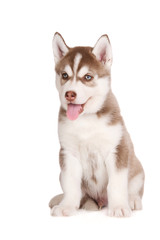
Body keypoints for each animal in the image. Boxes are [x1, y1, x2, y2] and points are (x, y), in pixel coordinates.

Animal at [50, 32, 145, 218]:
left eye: (88, 77)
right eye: (64, 75)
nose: (69, 94)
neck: (86, 119)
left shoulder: (118, 148)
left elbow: (116, 183)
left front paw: (119, 207)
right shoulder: (68, 152)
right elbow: (71, 184)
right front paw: (67, 206)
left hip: (138, 170)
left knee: (133, 188)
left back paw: (131, 200)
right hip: (60, 175)